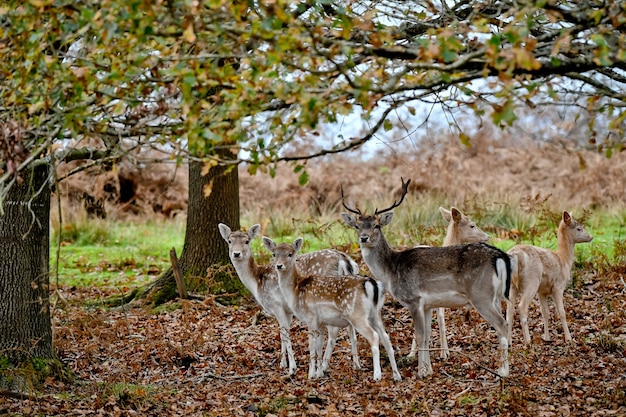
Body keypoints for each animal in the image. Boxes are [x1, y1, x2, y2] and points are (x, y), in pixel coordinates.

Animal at [218, 223, 360, 376]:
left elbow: (285, 333)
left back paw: (323, 367)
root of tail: (345, 261)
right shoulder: (288, 310)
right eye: (229, 241)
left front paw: (292, 367)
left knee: (334, 332)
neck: (257, 282)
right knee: (352, 329)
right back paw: (356, 364)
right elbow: (282, 334)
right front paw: (283, 364)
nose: (236, 253)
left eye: (247, 241)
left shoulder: (276, 304)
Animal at [262, 234, 400, 380]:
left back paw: (377, 375)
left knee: (374, 337)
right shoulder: (321, 322)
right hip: (375, 313)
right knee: (386, 337)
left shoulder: (310, 317)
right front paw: (318, 372)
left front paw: (311, 375)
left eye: (290, 254)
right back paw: (396, 375)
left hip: (357, 315)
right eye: (274, 254)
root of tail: (372, 284)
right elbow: (319, 346)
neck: (295, 291)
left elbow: (311, 345)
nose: (279, 265)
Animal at [504, 211, 592, 344]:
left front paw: (546, 337)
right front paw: (569, 338)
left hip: (512, 285)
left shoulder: (542, 291)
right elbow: (561, 312)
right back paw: (528, 341)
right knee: (521, 307)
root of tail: (516, 255)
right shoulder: (558, 287)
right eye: (579, 228)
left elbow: (545, 313)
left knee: (509, 310)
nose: (591, 237)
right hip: (532, 282)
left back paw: (509, 342)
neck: (563, 260)